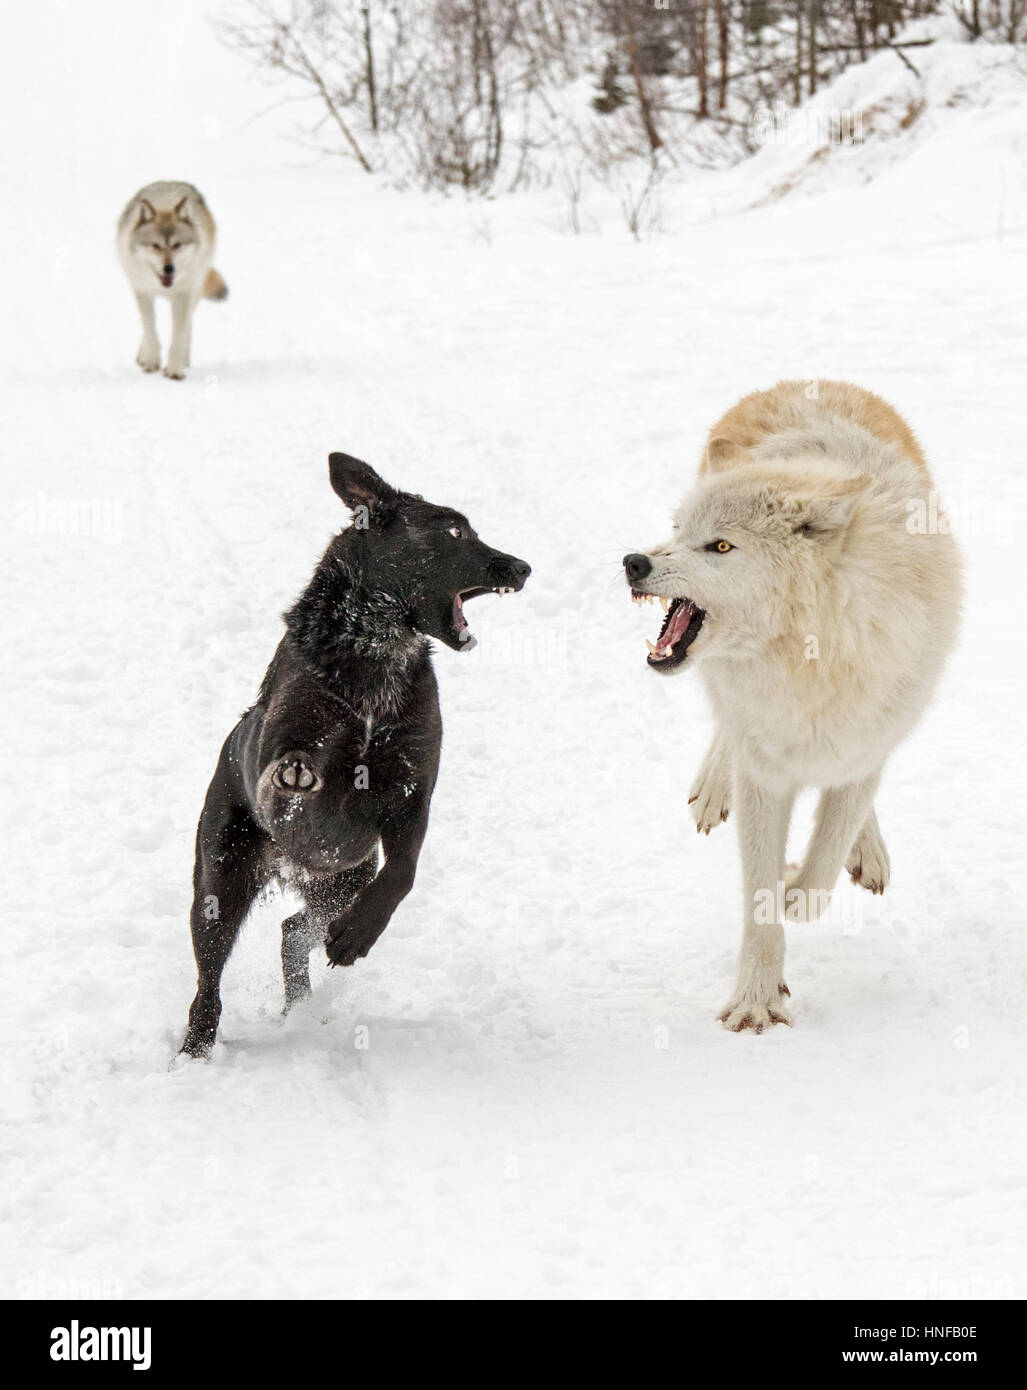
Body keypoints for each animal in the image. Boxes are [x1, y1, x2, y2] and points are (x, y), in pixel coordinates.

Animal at [116, 183, 229, 386]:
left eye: (177, 245)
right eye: (156, 246)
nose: (169, 268)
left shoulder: (184, 295)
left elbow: (178, 335)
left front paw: (174, 370)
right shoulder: (141, 290)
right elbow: (150, 329)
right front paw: (151, 361)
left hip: (195, 290)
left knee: (188, 327)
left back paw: (184, 360)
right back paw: (142, 356)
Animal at [180, 453, 530, 1050]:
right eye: (455, 531)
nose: (522, 567)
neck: (376, 650)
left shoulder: (411, 793)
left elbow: (403, 873)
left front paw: (356, 938)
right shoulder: (287, 751)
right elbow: (293, 765)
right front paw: (298, 774)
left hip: (343, 880)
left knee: (293, 930)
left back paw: (304, 1003)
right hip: (220, 883)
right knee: (209, 983)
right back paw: (195, 1051)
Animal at [625, 380, 961, 1034]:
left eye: (720, 545)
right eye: (678, 530)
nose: (635, 562)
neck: (807, 657)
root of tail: (807, 382)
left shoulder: (865, 739)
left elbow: (817, 876)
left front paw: (796, 885)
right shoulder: (764, 767)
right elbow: (761, 899)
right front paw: (756, 1000)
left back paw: (865, 852)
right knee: (725, 727)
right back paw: (714, 789)